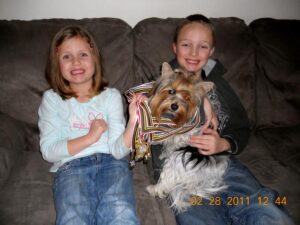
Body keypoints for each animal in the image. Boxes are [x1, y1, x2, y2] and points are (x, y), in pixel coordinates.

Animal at [146, 62, 230, 213]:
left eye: (187, 98)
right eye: (171, 91)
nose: (174, 106)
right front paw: (163, 153)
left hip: (177, 161)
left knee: (166, 181)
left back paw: (154, 189)